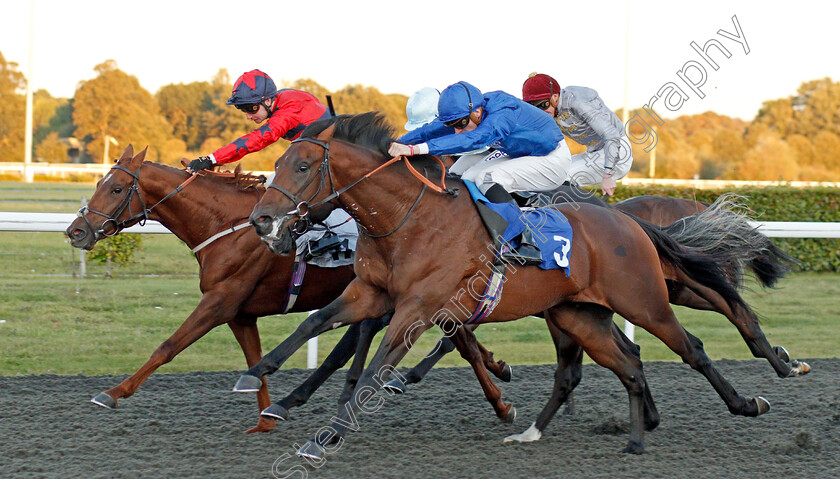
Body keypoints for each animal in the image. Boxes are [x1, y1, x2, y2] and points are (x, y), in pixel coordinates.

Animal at [241, 113, 780, 458]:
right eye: (278, 164)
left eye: (303, 166)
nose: (262, 220)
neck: (407, 219)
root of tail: (626, 220)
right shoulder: (370, 293)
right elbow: (314, 323)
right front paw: (258, 377)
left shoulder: (416, 308)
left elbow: (374, 368)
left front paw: (325, 437)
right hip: (578, 315)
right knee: (620, 361)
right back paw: (615, 430)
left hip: (646, 301)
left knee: (694, 344)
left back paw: (753, 394)